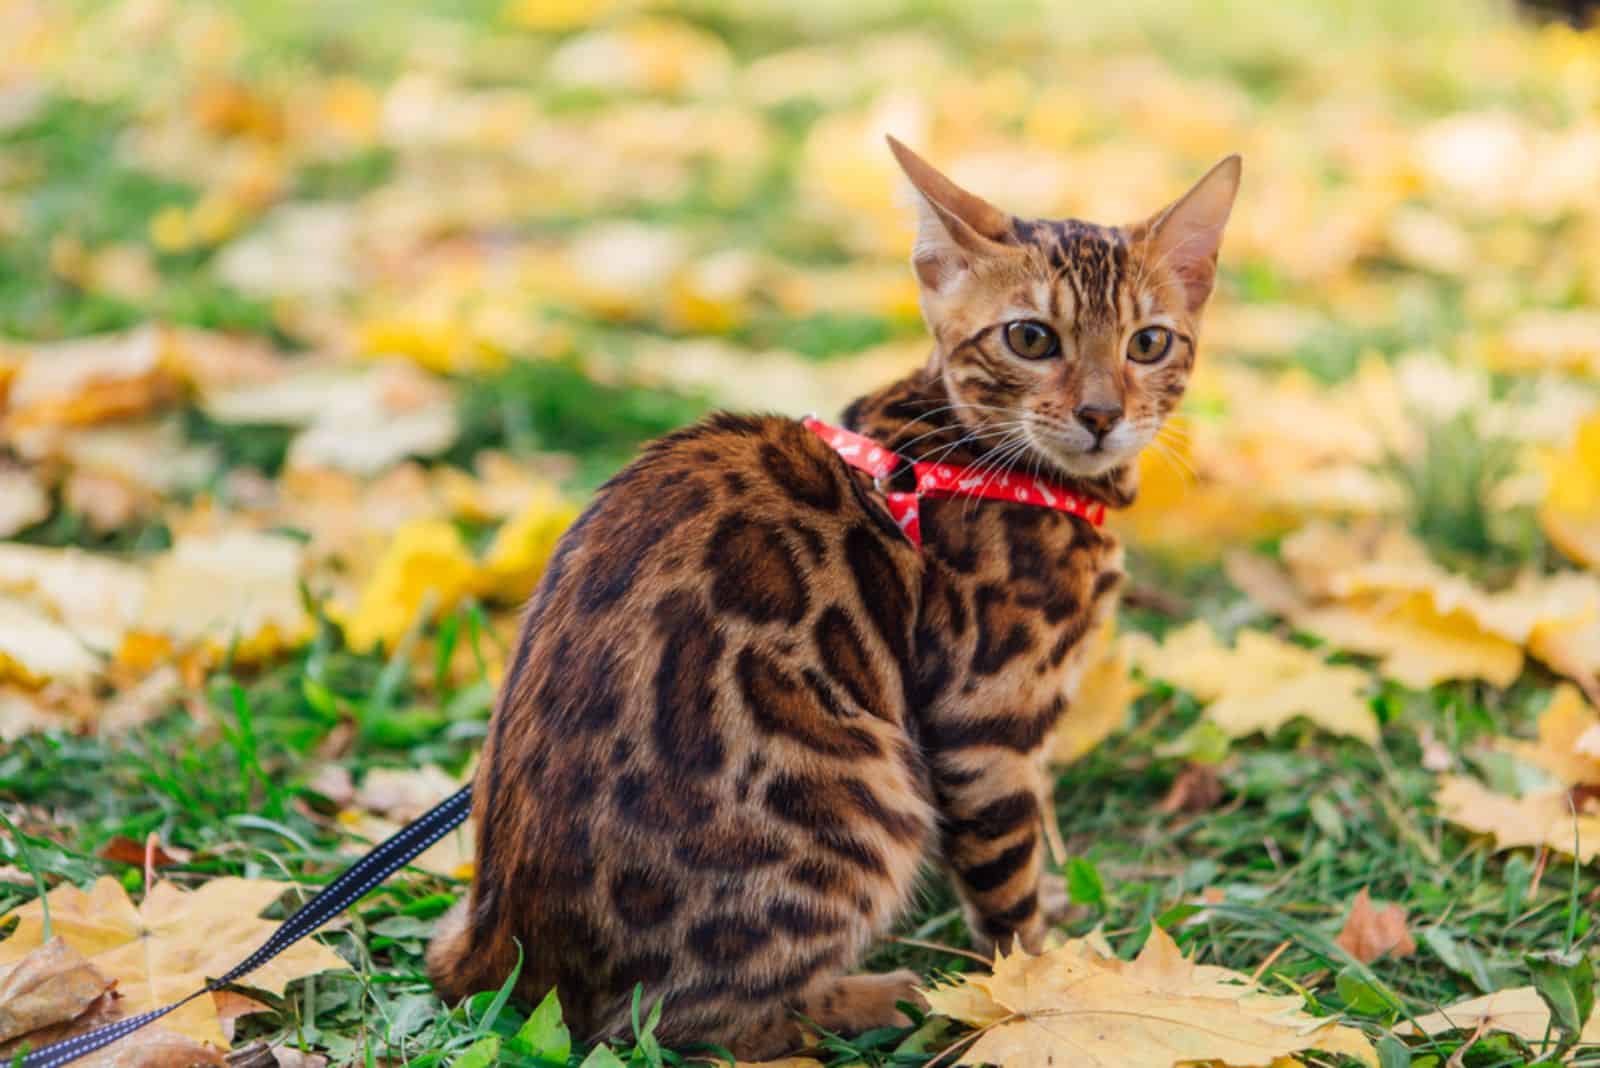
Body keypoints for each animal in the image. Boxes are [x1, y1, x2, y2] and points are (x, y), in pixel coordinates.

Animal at [432, 137, 1241, 1055]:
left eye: (1149, 343)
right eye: (1031, 337)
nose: (1103, 414)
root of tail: (495, 944)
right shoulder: (984, 718)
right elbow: (1006, 881)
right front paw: (1045, 979)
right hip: (855, 811)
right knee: (673, 1022)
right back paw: (879, 997)